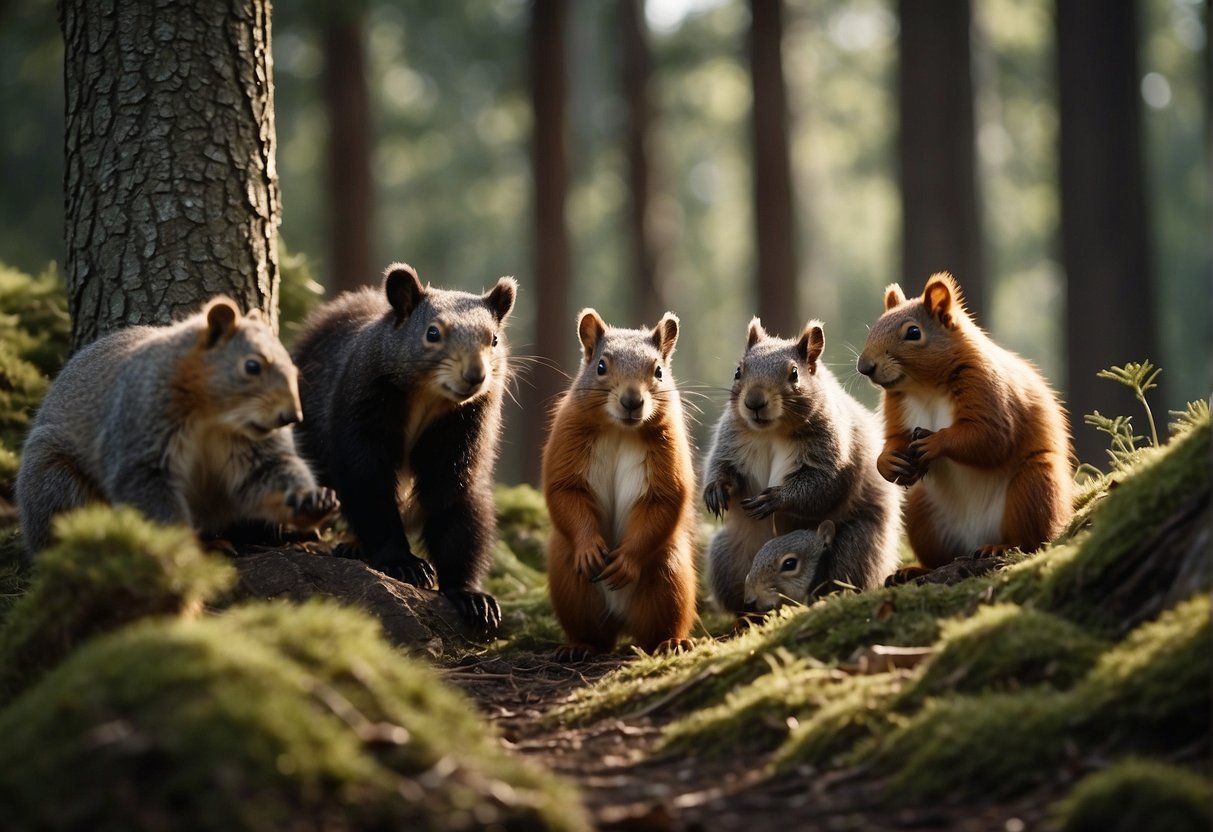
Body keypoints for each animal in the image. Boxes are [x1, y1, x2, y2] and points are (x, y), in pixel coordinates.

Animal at [18, 294, 339, 560]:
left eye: (294, 367)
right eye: (252, 366)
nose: (291, 416)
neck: (214, 416)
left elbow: (267, 472)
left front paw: (311, 502)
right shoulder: (142, 424)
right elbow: (149, 492)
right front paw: (180, 552)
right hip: (55, 480)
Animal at [298, 264, 521, 635]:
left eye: (494, 339)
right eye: (432, 333)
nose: (475, 375)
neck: (428, 397)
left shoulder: (461, 434)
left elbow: (454, 502)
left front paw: (471, 597)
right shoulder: (362, 412)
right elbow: (368, 486)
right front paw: (404, 564)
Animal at [543, 309, 698, 659]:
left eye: (658, 371)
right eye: (601, 366)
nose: (632, 400)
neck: (620, 430)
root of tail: (620, 620)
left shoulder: (669, 450)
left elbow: (665, 500)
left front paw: (626, 561)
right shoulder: (567, 435)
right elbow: (564, 491)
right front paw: (589, 547)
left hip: (668, 578)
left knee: (659, 627)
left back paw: (672, 642)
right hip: (569, 579)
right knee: (592, 632)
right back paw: (579, 645)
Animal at [703, 315, 902, 616]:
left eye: (794, 374)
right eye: (738, 371)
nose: (753, 402)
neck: (771, 432)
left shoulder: (832, 449)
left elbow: (822, 486)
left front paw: (776, 497)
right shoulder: (731, 440)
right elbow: (721, 466)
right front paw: (715, 489)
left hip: (856, 546)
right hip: (727, 556)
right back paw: (747, 616)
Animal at [858, 270, 1077, 570]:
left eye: (913, 332)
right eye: (874, 328)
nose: (864, 367)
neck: (926, 388)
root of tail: (975, 537)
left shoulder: (987, 387)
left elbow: (990, 438)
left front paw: (935, 443)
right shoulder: (897, 406)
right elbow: (894, 439)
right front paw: (887, 462)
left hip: (1034, 486)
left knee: (1029, 540)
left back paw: (1000, 546)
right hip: (921, 510)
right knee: (938, 559)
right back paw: (913, 571)